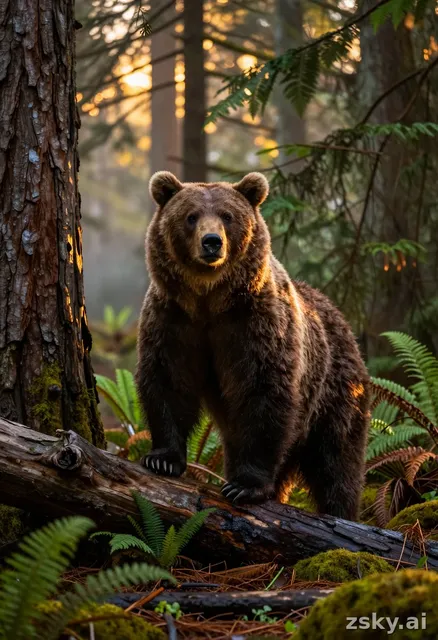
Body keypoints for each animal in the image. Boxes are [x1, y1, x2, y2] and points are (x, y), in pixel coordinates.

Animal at [135, 170, 370, 520]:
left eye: (227, 216)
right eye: (191, 216)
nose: (212, 241)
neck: (209, 300)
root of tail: (342, 321)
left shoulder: (255, 324)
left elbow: (263, 391)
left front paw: (245, 486)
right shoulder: (174, 319)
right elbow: (168, 380)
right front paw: (162, 458)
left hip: (336, 390)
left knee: (336, 459)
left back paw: (339, 512)